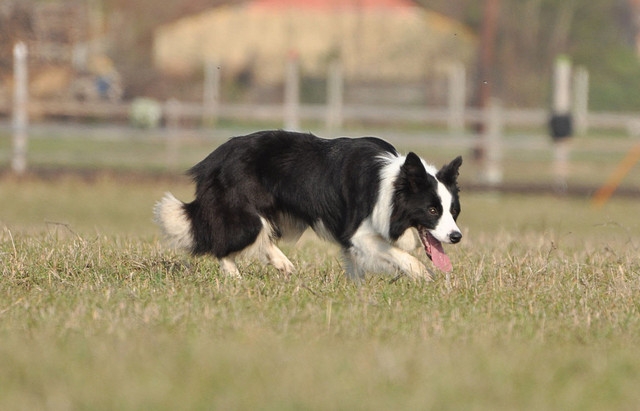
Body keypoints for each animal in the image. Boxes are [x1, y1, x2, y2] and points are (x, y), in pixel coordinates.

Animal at [154, 130, 462, 281]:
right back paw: (235, 277)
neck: (393, 184)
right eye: (432, 210)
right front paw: (424, 276)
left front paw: (358, 288)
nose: (456, 236)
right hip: (243, 212)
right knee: (224, 239)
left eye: (454, 211)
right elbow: (401, 255)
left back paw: (284, 265)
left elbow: (357, 265)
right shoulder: (357, 232)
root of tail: (214, 158)